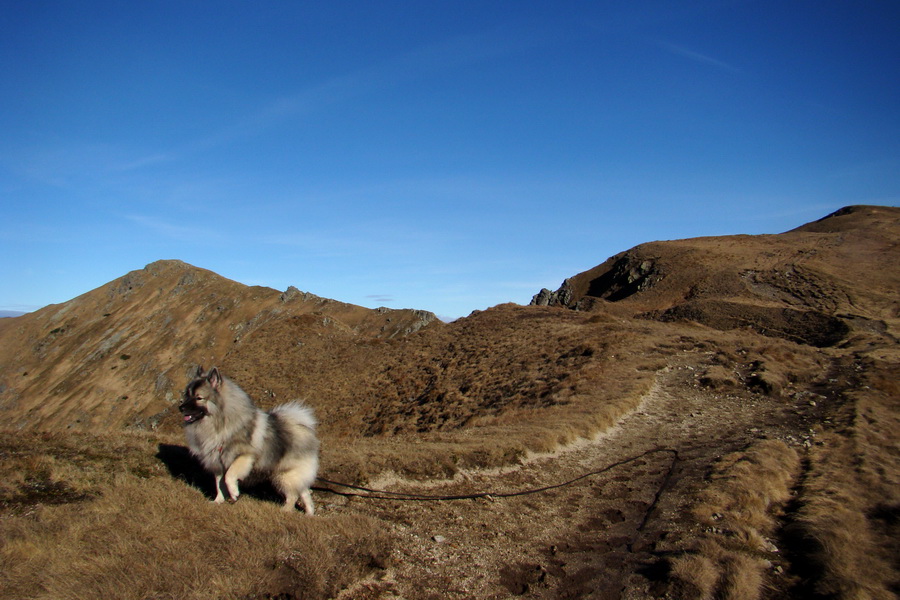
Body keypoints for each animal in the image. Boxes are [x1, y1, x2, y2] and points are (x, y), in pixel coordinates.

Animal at [179, 368, 320, 512]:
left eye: (199, 398)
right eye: (187, 395)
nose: (181, 408)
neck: (220, 422)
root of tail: (302, 427)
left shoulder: (244, 456)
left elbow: (229, 477)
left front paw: (234, 493)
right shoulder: (218, 462)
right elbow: (219, 484)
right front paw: (218, 501)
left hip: (285, 475)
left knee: (293, 496)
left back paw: (285, 511)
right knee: (304, 493)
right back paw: (309, 513)